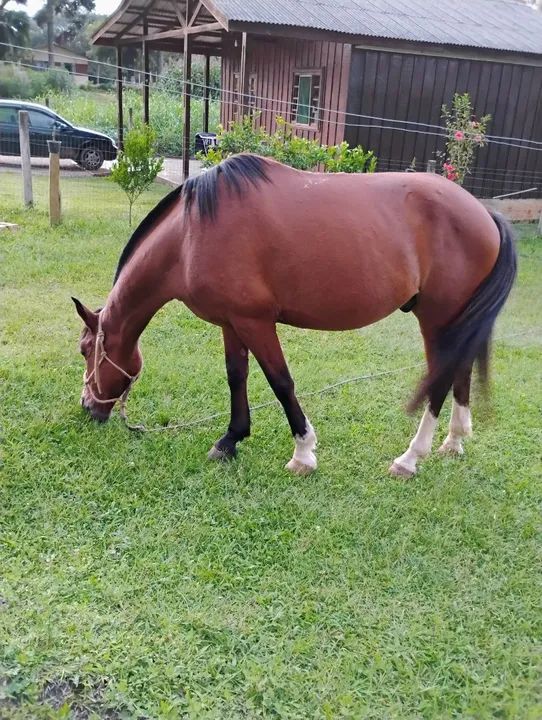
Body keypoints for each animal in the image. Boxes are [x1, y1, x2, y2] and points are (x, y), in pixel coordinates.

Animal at [73, 153, 516, 477]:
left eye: (85, 351)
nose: (88, 407)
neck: (191, 234)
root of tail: (484, 214)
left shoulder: (255, 322)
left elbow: (280, 382)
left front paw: (303, 452)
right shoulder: (231, 321)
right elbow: (236, 376)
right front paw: (230, 440)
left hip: (436, 317)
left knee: (440, 378)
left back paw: (410, 458)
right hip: (455, 320)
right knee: (459, 371)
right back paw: (453, 442)